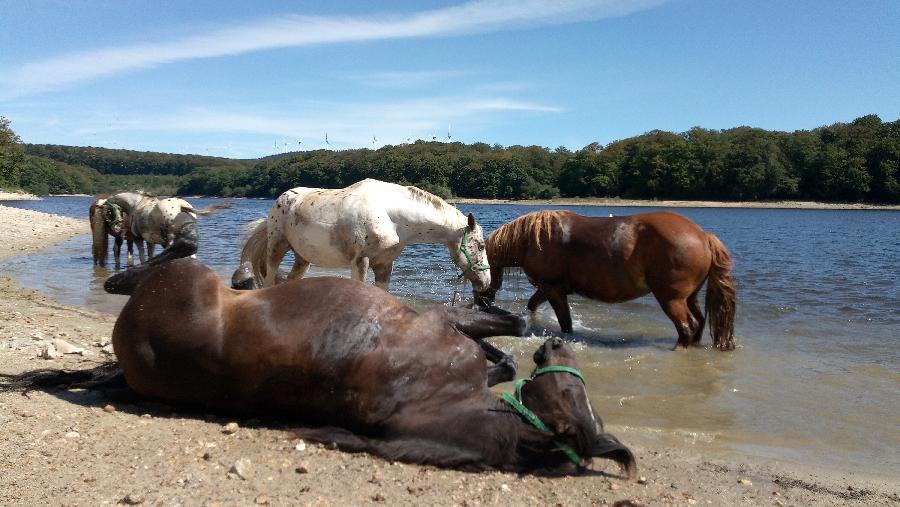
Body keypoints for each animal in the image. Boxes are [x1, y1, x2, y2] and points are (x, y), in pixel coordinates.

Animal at [239, 179, 492, 292]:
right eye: (480, 245)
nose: (486, 283)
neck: (391, 216)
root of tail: (282, 198)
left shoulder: (384, 265)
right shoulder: (361, 262)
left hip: (303, 258)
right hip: (277, 248)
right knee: (269, 280)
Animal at [474, 210, 736, 350]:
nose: (479, 304)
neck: (531, 240)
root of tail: (703, 235)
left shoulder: (553, 289)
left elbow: (565, 323)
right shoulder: (547, 289)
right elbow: (532, 306)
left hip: (671, 299)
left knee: (687, 326)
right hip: (690, 296)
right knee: (699, 322)